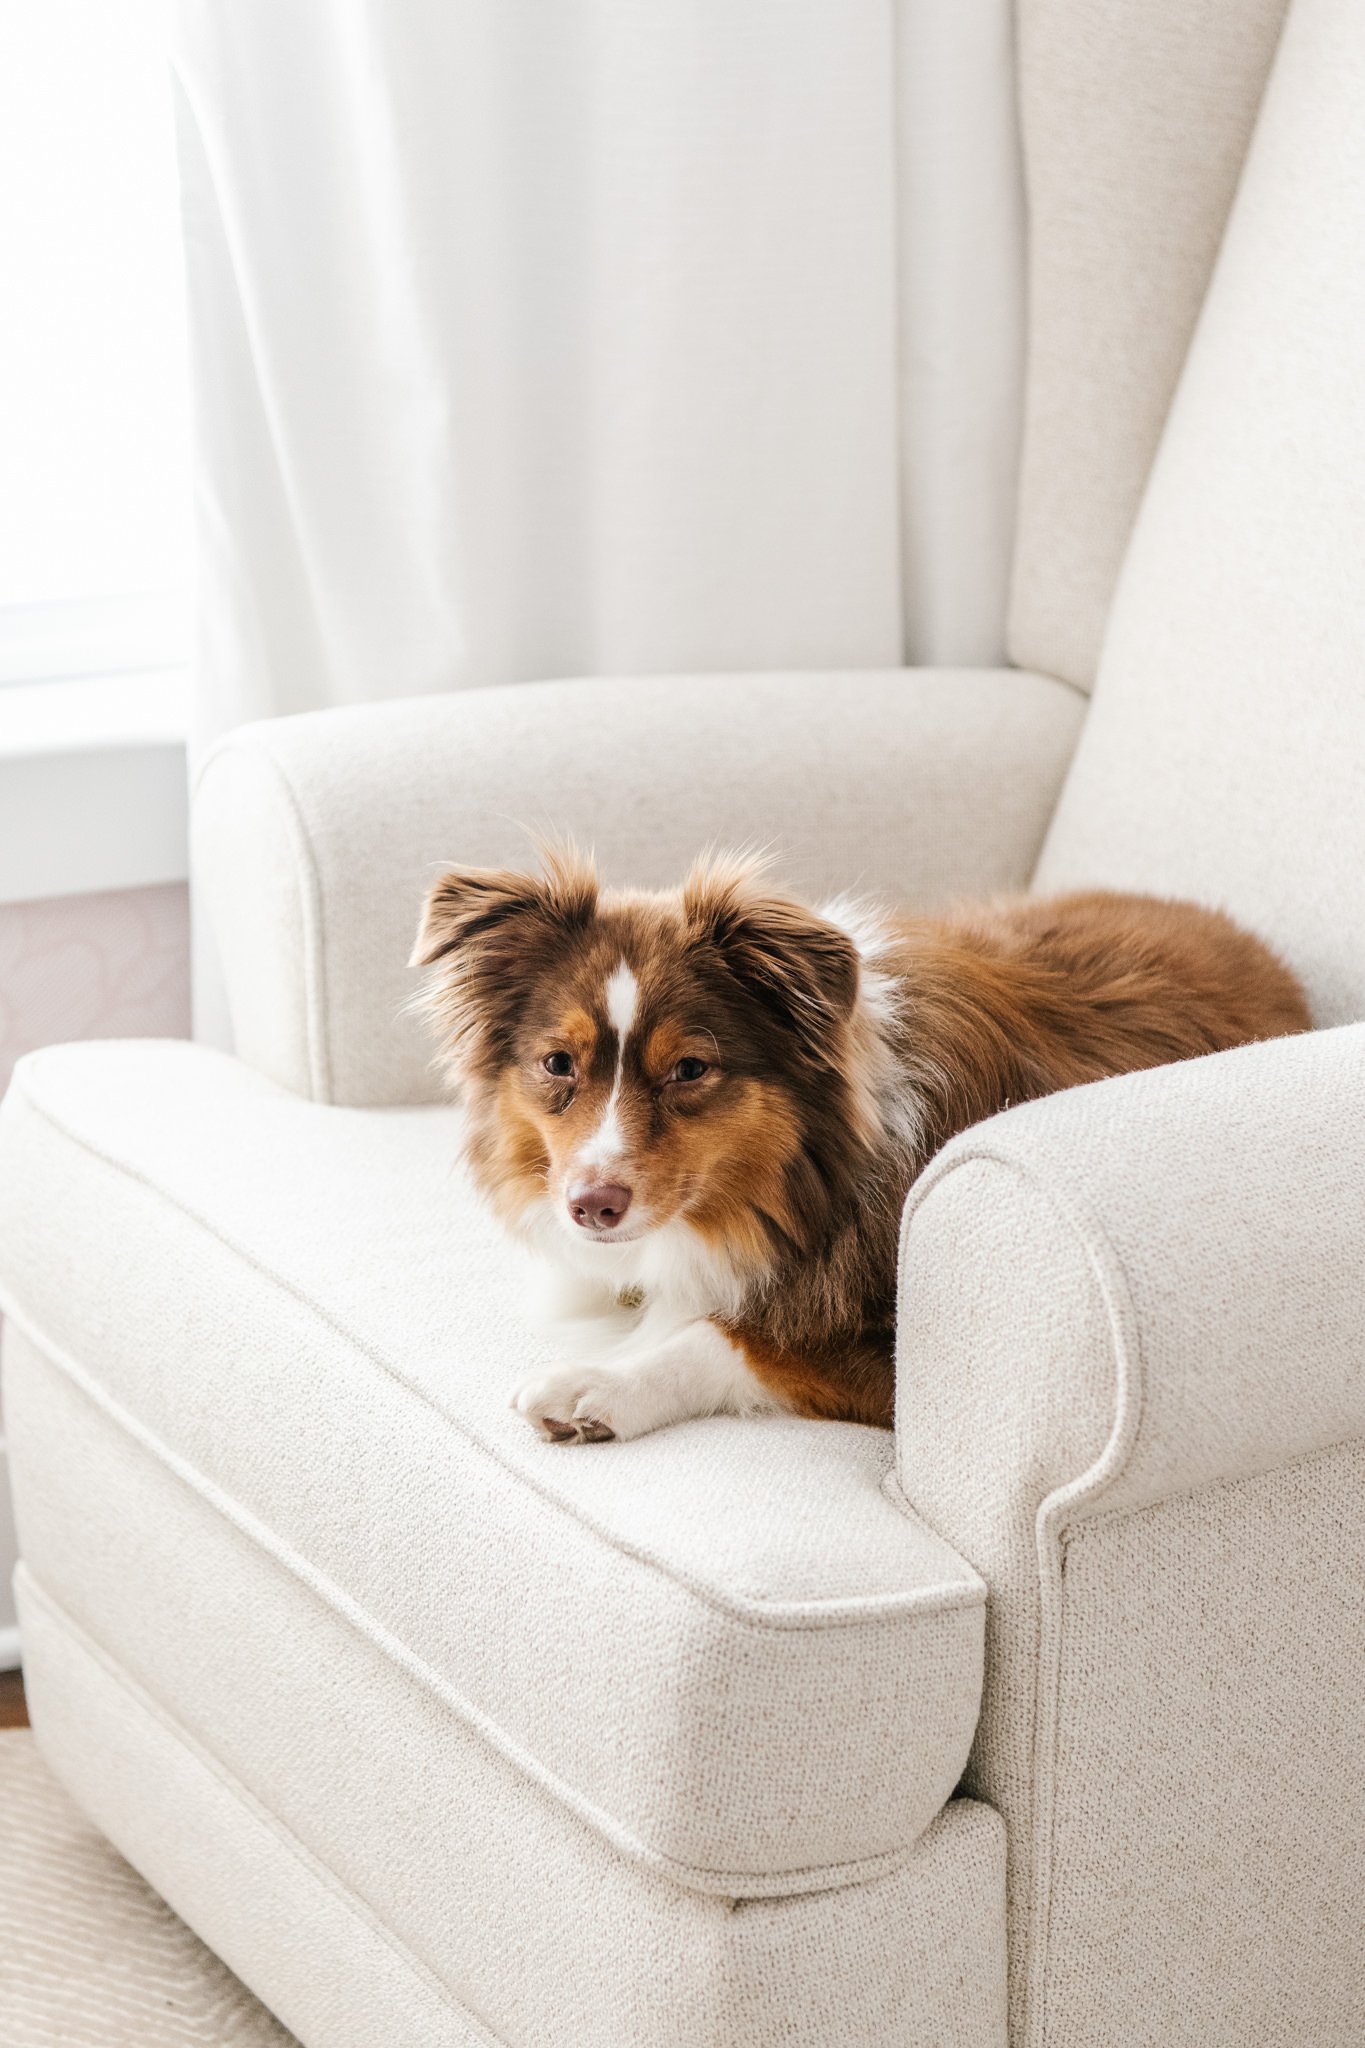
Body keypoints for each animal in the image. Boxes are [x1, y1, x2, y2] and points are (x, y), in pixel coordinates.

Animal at [413, 847, 1309, 1441]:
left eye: (690, 1069)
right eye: (557, 1065)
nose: (591, 1207)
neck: (795, 1182)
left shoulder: (892, 1362)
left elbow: (735, 1340)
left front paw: (596, 1385)